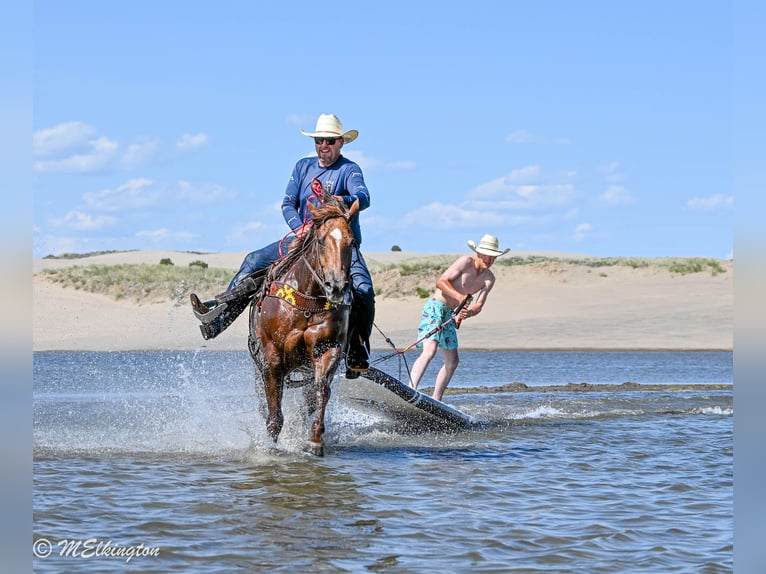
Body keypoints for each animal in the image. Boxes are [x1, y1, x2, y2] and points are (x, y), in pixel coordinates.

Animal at [248, 191, 358, 456]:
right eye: (320, 240)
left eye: (352, 242)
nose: (336, 287)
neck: (306, 302)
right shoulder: (271, 356)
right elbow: (274, 414)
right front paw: (270, 448)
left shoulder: (327, 348)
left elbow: (321, 390)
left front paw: (315, 439)